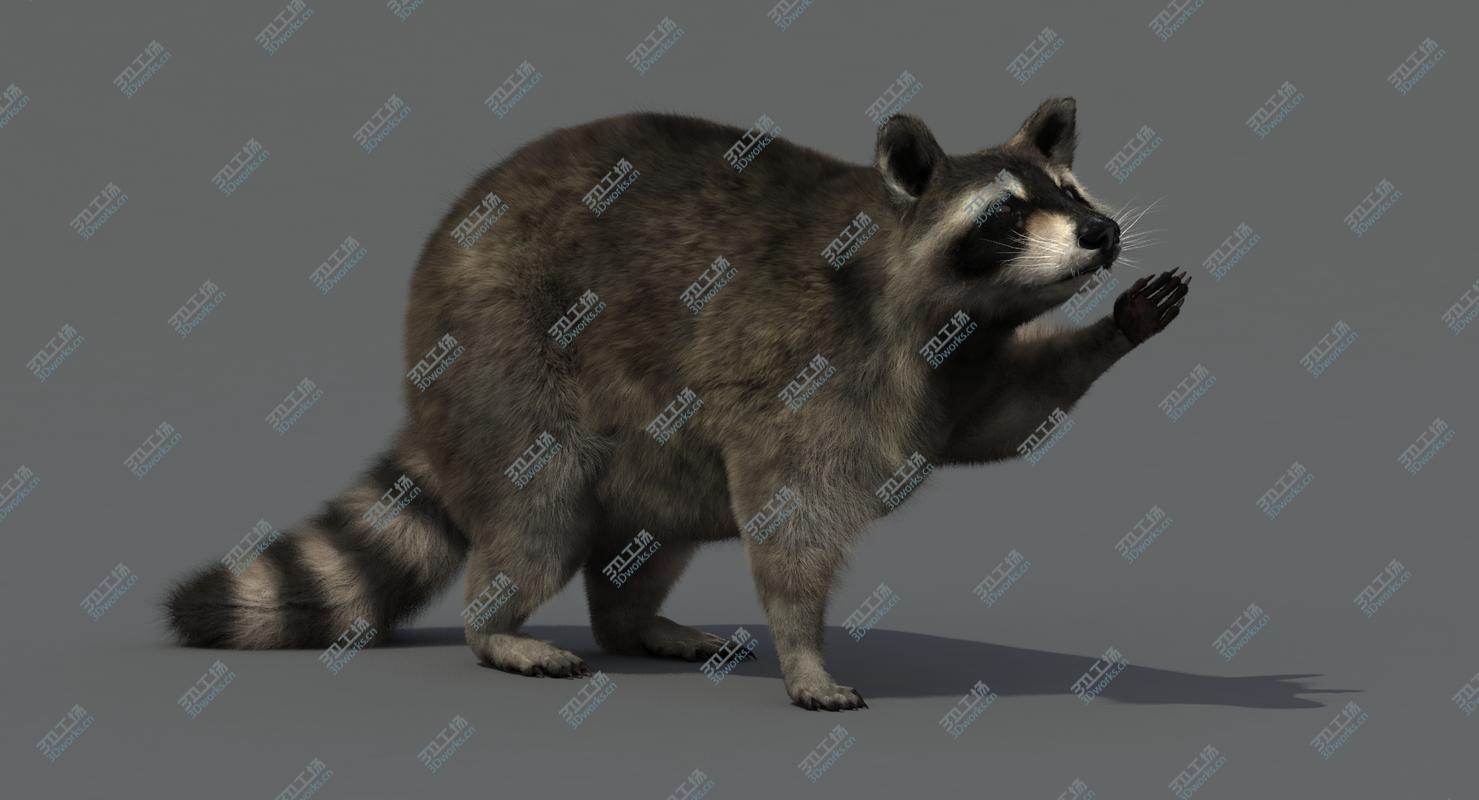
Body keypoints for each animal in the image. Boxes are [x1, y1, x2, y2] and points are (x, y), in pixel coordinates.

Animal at [167, 97, 1189, 710]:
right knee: (536, 512)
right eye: (1006, 215)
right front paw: (805, 651)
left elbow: (1006, 420)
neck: (947, 314)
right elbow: (790, 517)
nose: (1100, 233)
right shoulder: (809, 366)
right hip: (503, 356)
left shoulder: (957, 367)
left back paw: (632, 619)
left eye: (1069, 191)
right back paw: (497, 628)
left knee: (656, 527)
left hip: (647, 439)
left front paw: (1118, 327)